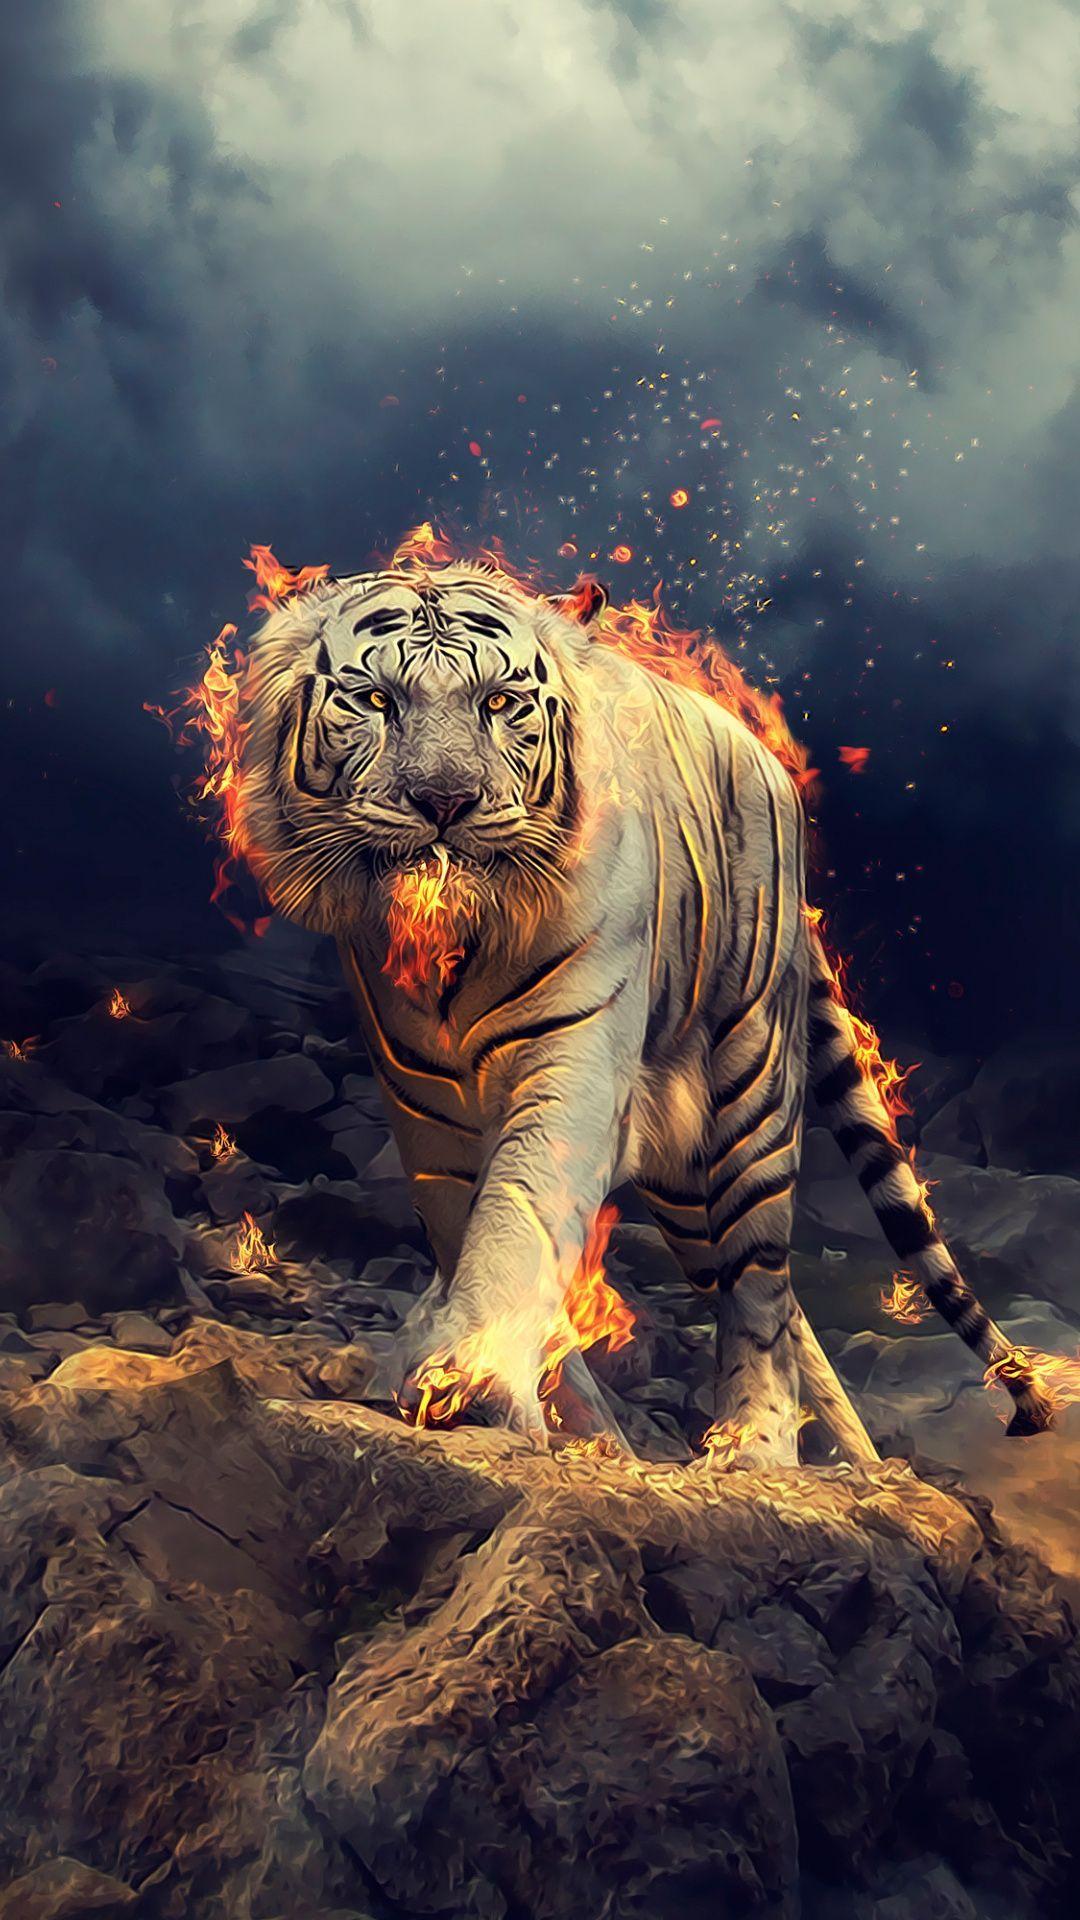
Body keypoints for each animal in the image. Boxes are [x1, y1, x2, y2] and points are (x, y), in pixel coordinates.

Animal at [233, 553, 1054, 1465]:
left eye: (499, 703)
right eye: (377, 701)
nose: (445, 802)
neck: (454, 944)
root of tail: (762, 757)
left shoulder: (574, 1065)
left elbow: (519, 1217)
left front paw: (472, 1380)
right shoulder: (424, 1108)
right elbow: (471, 1230)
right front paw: (556, 1419)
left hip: (748, 1098)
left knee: (760, 1286)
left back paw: (758, 1448)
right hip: (688, 1190)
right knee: (773, 1301)